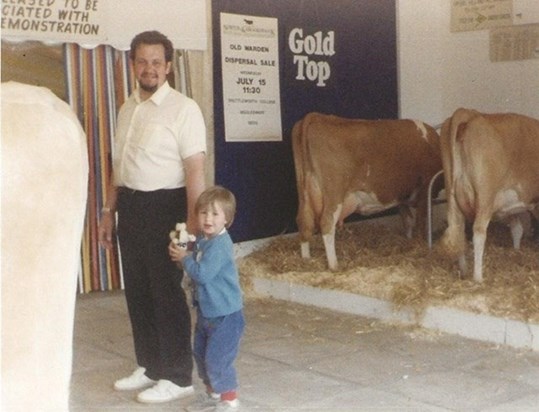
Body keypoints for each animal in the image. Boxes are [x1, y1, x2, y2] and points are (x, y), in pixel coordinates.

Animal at [296, 112, 442, 270]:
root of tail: (317, 116)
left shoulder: (401, 196)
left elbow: (407, 220)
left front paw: (408, 240)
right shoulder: (424, 191)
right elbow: (421, 222)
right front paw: (420, 244)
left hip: (304, 195)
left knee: (304, 222)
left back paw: (306, 259)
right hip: (334, 195)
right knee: (327, 223)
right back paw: (334, 265)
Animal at [438, 108, 539, 282]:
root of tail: (468, 113)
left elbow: (517, 229)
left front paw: (516, 251)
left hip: (453, 194)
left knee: (458, 228)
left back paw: (464, 271)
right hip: (485, 196)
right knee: (478, 232)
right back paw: (478, 277)